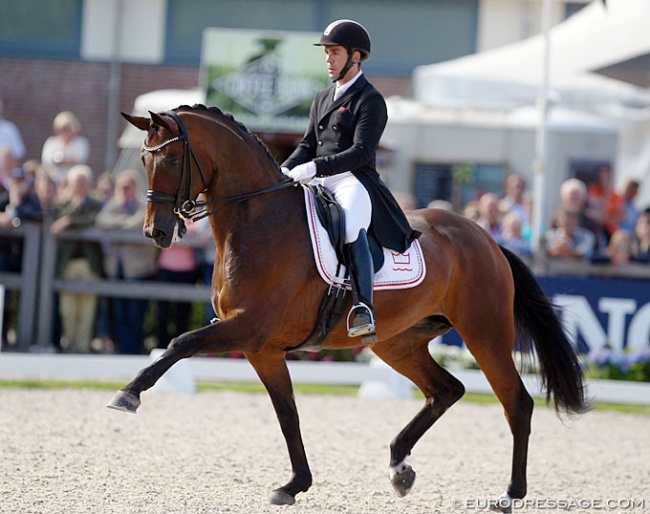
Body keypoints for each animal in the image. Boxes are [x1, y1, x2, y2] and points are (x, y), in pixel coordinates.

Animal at [107, 103, 588, 508]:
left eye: (172, 160)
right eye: (144, 161)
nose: (156, 233)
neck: (257, 221)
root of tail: (485, 238)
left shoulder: (248, 328)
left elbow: (179, 343)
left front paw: (127, 394)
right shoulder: (262, 349)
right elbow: (288, 416)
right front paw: (294, 485)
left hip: (484, 333)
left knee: (516, 403)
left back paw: (510, 494)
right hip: (396, 342)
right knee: (446, 390)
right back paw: (399, 467)